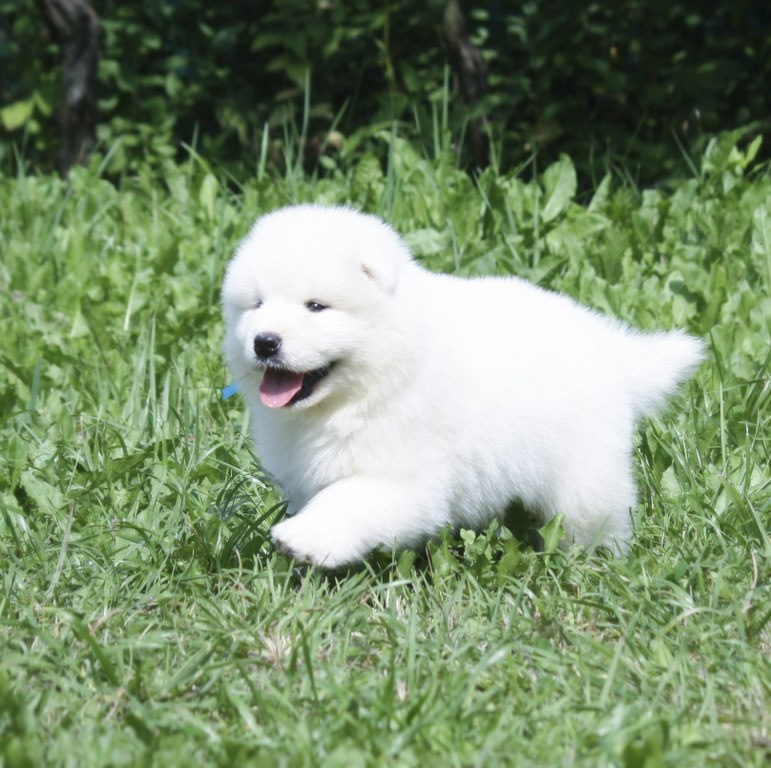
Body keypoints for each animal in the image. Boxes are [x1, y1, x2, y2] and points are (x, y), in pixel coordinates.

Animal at [223, 207, 704, 568]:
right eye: (257, 305)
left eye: (316, 306)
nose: (265, 342)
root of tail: (613, 350)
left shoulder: (407, 476)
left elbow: (349, 499)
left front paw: (303, 537)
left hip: (584, 474)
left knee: (596, 520)